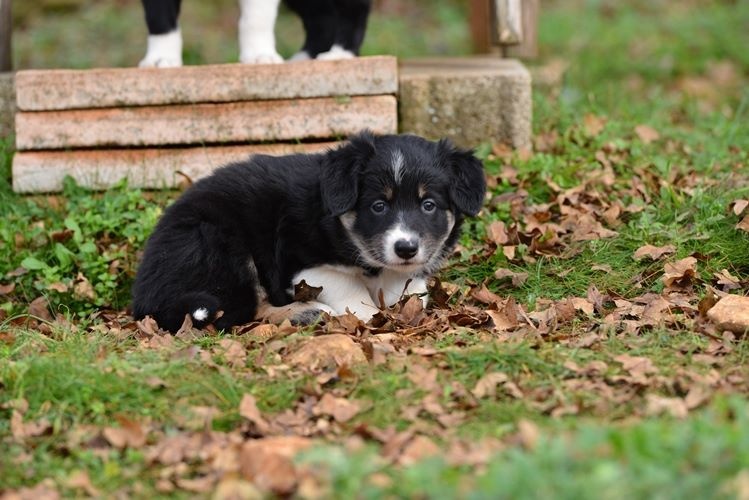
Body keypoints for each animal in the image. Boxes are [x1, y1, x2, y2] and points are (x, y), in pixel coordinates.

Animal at [132, 133, 488, 332]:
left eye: (428, 205)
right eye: (378, 206)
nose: (406, 248)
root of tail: (144, 295)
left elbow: (411, 288)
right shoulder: (298, 261)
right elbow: (349, 288)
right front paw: (367, 314)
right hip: (219, 243)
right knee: (245, 311)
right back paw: (312, 312)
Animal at [139, 0, 372, 67]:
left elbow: (256, 17)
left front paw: (260, 55)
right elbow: (159, 17)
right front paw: (160, 58)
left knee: (355, 8)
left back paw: (341, 52)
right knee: (321, 19)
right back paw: (304, 57)